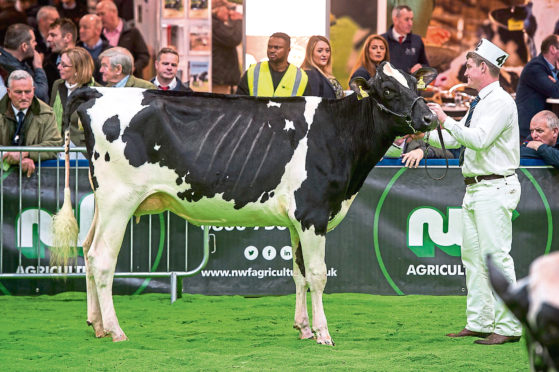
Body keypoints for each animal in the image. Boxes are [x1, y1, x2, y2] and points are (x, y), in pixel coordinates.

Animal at [52, 62, 438, 344]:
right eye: (388, 90)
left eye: (416, 86)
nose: (430, 118)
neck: (339, 135)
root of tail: (97, 91)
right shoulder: (313, 213)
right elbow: (317, 275)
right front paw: (323, 334)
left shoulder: (297, 219)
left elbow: (297, 274)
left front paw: (303, 328)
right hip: (120, 199)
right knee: (102, 259)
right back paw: (115, 330)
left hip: (103, 200)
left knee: (87, 250)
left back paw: (96, 324)